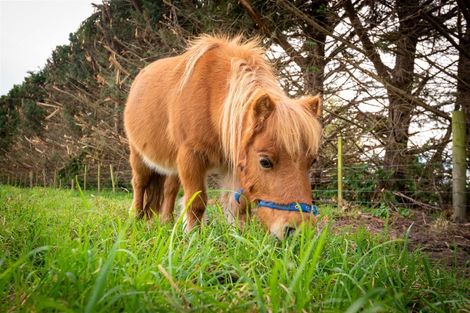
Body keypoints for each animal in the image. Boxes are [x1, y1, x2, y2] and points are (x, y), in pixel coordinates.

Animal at [125, 34, 324, 238]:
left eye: (312, 161)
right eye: (265, 162)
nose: (300, 231)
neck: (211, 94)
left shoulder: (233, 164)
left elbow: (238, 206)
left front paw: (239, 236)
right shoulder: (191, 157)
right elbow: (196, 202)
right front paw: (193, 236)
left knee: (169, 190)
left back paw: (166, 221)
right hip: (138, 156)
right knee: (139, 184)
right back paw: (136, 219)